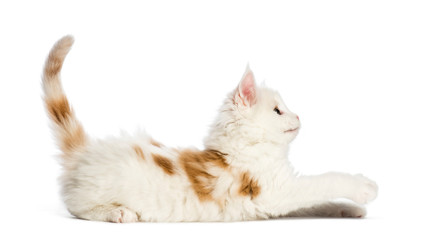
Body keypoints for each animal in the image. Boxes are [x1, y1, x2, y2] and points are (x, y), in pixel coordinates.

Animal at [42, 35, 380, 223]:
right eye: (278, 110)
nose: (299, 117)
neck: (242, 149)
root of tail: (85, 151)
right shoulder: (276, 190)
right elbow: (325, 181)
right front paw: (363, 188)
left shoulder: (273, 201)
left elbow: (317, 200)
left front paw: (348, 209)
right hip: (96, 189)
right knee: (75, 205)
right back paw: (116, 213)